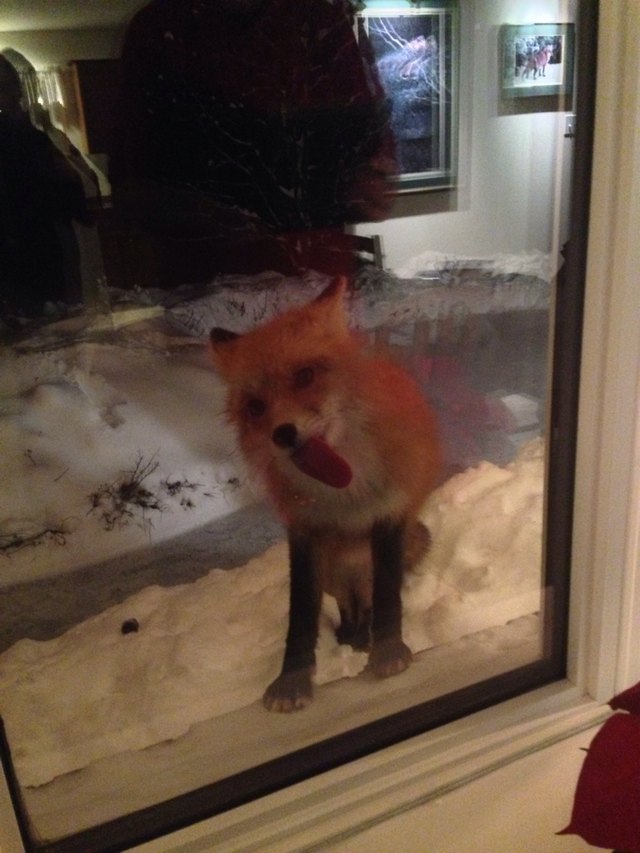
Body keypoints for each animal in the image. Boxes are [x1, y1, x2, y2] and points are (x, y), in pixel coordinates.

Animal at [210, 277, 441, 712]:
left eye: (305, 375)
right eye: (255, 407)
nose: (283, 434)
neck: (342, 496)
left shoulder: (388, 512)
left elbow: (388, 596)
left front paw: (387, 650)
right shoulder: (304, 531)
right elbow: (300, 616)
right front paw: (292, 681)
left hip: (380, 555)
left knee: (368, 599)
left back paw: (364, 636)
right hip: (334, 571)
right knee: (348, 605)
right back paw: (350, 635)